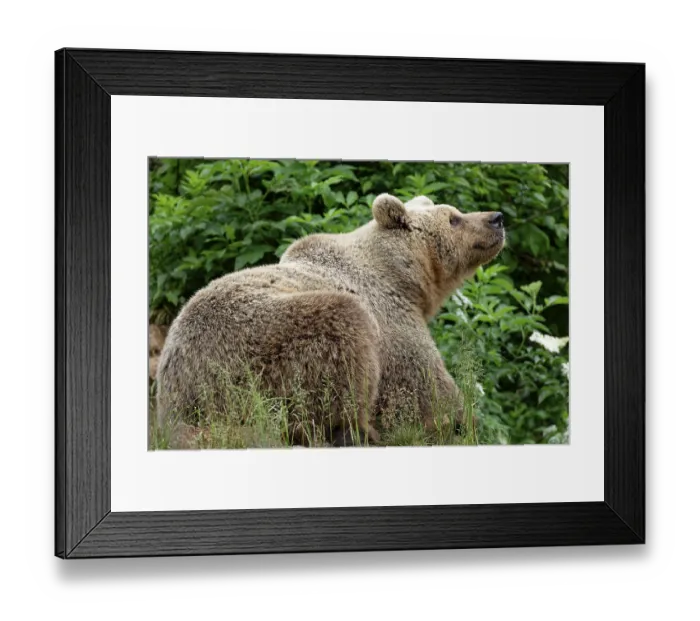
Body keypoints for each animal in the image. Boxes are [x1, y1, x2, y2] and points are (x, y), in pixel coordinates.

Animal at [156, 193, 505, 446]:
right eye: (454, 218)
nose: (497, 218)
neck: (404, 276)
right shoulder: (389, 316)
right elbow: (422, 384)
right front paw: (459, 421)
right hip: (257, 349)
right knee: (342, 336)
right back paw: (357, 432)